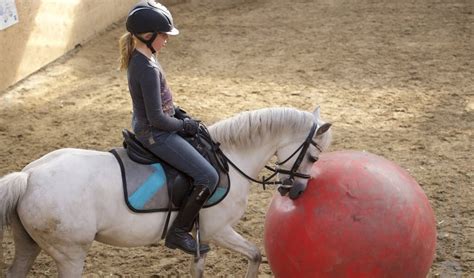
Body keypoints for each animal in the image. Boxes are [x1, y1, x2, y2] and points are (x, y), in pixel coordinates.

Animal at [0, 106, 332, 276]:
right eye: (314, 157)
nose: (296, 191)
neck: (230, 160)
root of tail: (28, 176)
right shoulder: (217, 230)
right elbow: (254, 254)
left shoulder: (200, 239)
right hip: (70, 254)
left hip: (30, 244)